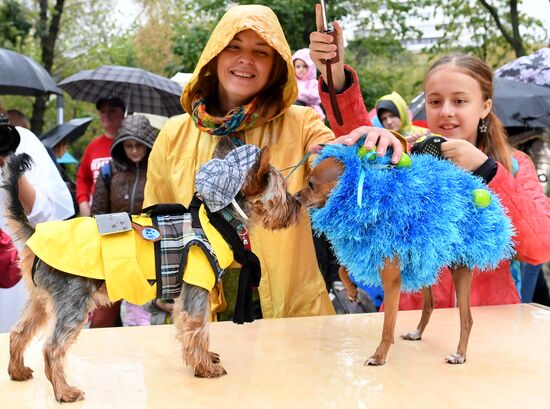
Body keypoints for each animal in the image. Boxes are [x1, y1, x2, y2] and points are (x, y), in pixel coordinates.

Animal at [2, 144, 302, 402]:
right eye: (283, 192)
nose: (298, 204)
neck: (220, 220)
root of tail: (34, 233)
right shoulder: (197, 287)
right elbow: (198, 327)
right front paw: (206, 367)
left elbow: (193, 328)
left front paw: (205, 358)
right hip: (72, 300)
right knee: (52, 348)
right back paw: (64, 392)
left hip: (42, 300)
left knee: (19, 332)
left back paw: (17, 372)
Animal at [298, 145, 516, 364]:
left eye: (311, 184)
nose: (296, 195)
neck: (372, 197)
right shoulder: (367, 252)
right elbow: (342, 269)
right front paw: (351, 291)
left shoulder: (391, 279)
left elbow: (388, 324)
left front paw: (380, 355)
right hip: (423, 263)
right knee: (429, 304)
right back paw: (417, 333)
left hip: (459, 270)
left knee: (466, 319)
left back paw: (459, 354)